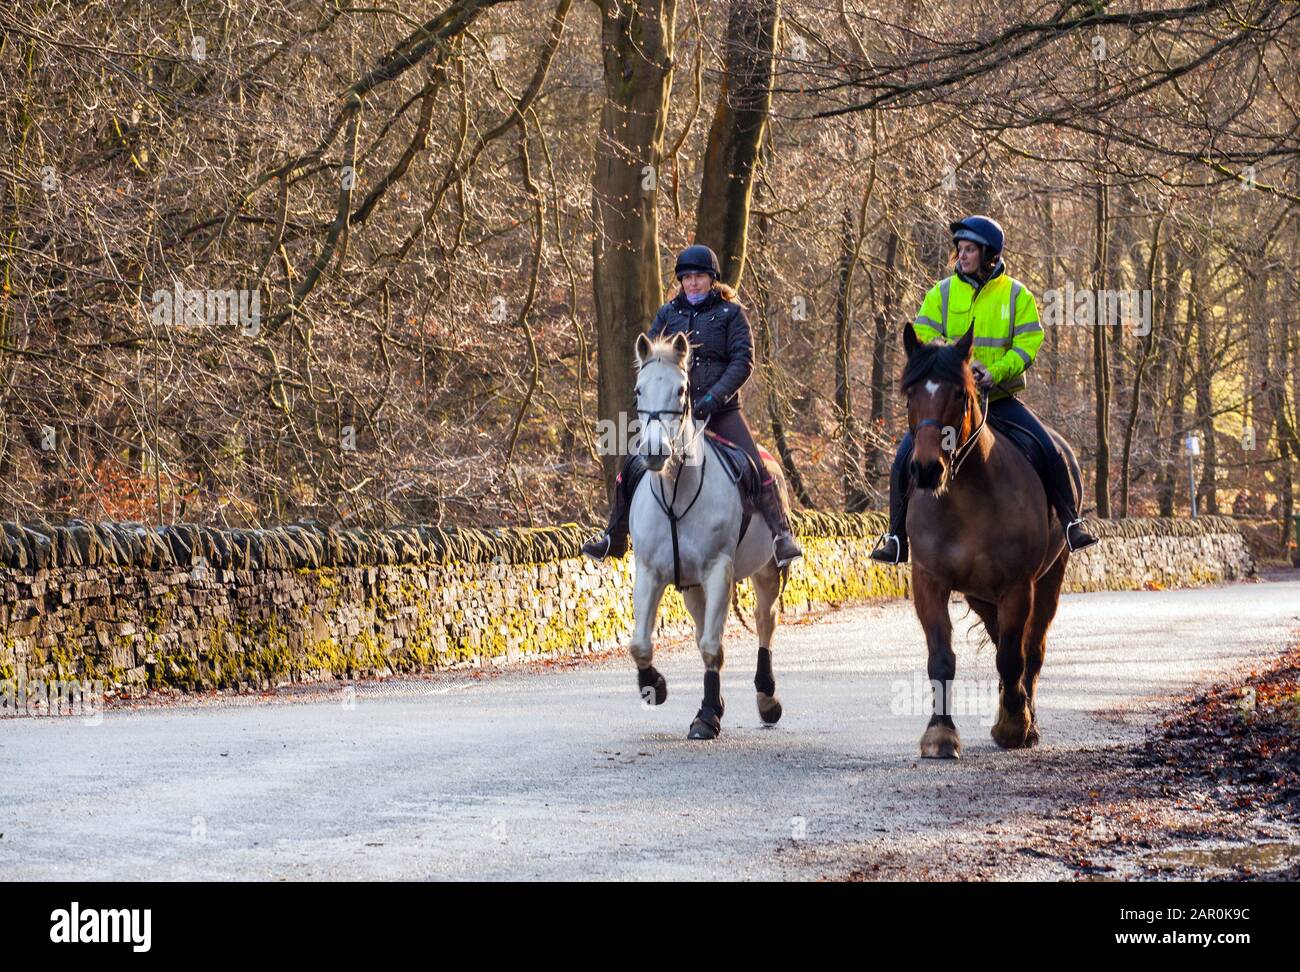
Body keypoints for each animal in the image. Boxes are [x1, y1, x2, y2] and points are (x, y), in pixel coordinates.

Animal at [627, 332, 787, 740]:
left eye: (682, 390)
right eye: (639, 390)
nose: (655, 452)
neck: (676, 493)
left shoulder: (718, 571)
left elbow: (713, 647)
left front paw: (708, 717)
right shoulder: (649, 571)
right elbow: (640, 644)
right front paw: (655, 686)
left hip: (767, 570)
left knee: (765, 621)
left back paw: (767, 699)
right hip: (693, 587)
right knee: (703, 631)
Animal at [899, 321, 1079, 758]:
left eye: (960, 393)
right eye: (910, 394)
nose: (926, 469)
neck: (966, 498)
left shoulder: (1018, 585)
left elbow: (1014, 658)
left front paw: (1015, 726)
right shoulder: (929, 581)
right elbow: (941, 658)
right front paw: (940, 734)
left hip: (1048, 579)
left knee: (1031, 649)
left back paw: (1025, 720)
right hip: (979, 595)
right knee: (1003, 642)